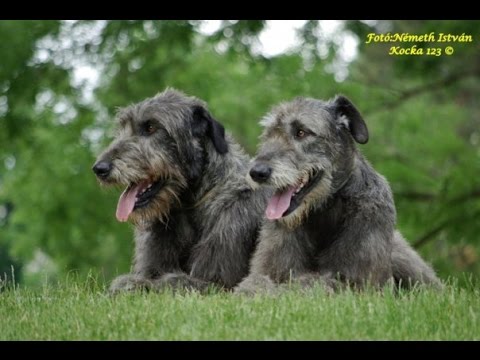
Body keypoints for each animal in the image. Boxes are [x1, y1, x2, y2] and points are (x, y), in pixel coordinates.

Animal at [93, 88, 266, 292]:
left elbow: (172, 280)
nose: (100, 168)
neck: (188, 206)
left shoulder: (220, 285)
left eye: (151, 127)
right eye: (122, 129)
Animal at [234, 95, 440, 296]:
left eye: (301, 132)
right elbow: (257, 281)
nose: (257, 172)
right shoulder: (269, 268)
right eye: (268, 134)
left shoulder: (360, 285)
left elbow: (312, 283)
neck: (323, 211)